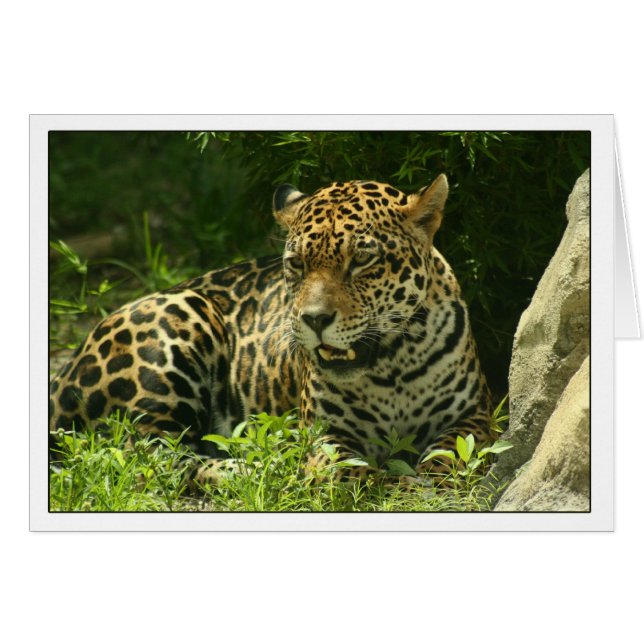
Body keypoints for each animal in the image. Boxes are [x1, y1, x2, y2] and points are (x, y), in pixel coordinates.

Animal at [49, 173, 493, 484]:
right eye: (297, 264)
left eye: (362, 260)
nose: (315, 319)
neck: (391, 366)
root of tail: (64, 370)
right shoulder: (325, 433)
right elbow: (349, 473)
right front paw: (394, 485)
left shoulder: (475, 414)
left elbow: (451, 454)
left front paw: (428, 479)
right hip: (180, 316)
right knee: (153, 456)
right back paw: (257, 467)